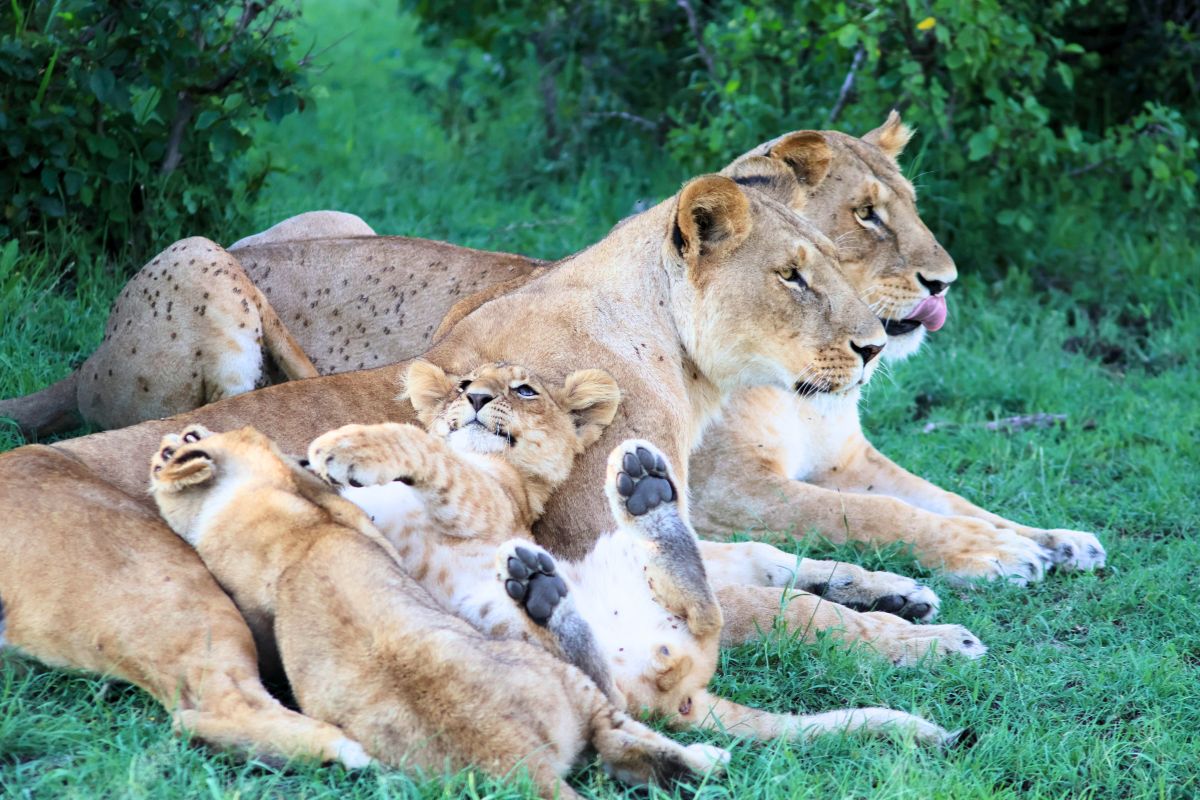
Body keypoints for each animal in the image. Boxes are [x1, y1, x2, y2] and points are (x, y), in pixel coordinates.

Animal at [150, 422, 729, 796]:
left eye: (184, 441)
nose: (173, 440)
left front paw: (338, 453)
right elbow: (424, 450)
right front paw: (343, 453)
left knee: (698, 616)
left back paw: (644, 493)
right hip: (552, 656)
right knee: (623, 696)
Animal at [304, 359, 969, 743]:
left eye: (524, 389)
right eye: (463, 386)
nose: (474, 399)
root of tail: (684, 698)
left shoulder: (483, 503)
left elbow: (423, 449)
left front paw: (346, 448)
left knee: (698, 619)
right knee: (627, 669)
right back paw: (552, 581)